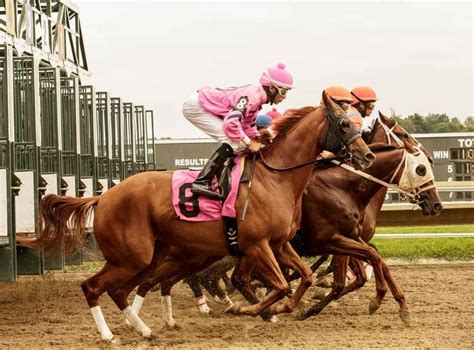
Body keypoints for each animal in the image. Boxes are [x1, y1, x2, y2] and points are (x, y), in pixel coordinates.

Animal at [18, 91, 376, 342]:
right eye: (345, 124)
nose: (368, 155)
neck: (275, 178)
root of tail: (104, 196)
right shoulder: (257, 245)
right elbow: (277, 284)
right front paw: (251, 309)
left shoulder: (280, 244)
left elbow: (304, 276)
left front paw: (283, 309)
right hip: (133, 256)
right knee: (93, 287)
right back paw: (109, 335)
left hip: (148, 256)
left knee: (121, 290)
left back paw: (145, 330)